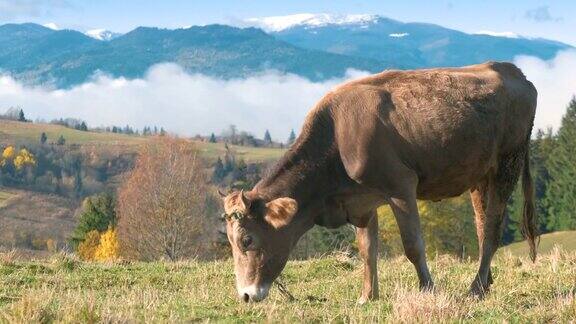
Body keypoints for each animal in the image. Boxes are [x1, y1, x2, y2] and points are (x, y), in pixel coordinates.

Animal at [218, 62, 536, 302]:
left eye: (247, 240)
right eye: (230, 242)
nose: (245, 295)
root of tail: (512, 70)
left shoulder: (400, 186)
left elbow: (413, 245)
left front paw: (428, 289)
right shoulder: (361, 202)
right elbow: (367, 249)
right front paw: (367, 296)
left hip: (508, 163)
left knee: (492, 229)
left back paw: (476, 288)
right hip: (479, 175)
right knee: (482, 226)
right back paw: (486, 281)